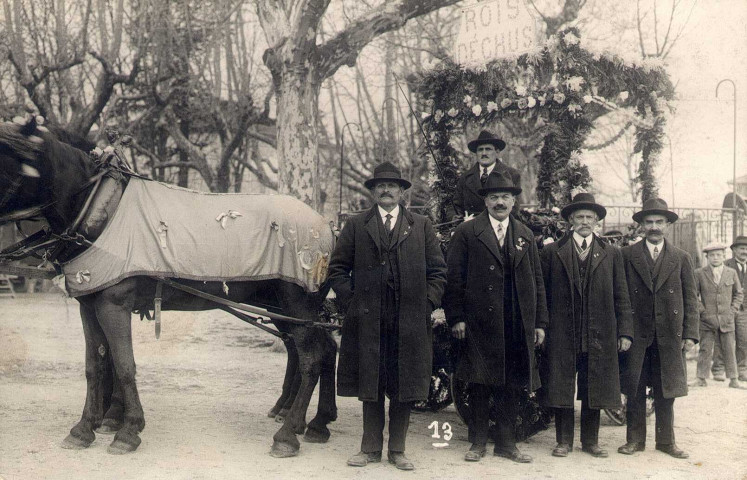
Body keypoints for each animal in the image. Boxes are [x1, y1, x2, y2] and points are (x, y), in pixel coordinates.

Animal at [0, 118, 338, 456]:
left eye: (8, 164)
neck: (101, 210)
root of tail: (326, 226)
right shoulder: (90, 304)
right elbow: (95, 365)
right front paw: (84, 428)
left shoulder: (114, 304)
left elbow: (123, 365)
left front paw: (128, 430)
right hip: (280, 306)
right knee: (314, 350)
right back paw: (312, 422)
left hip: (298, 304)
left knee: (312, 357)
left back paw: (288, 434)